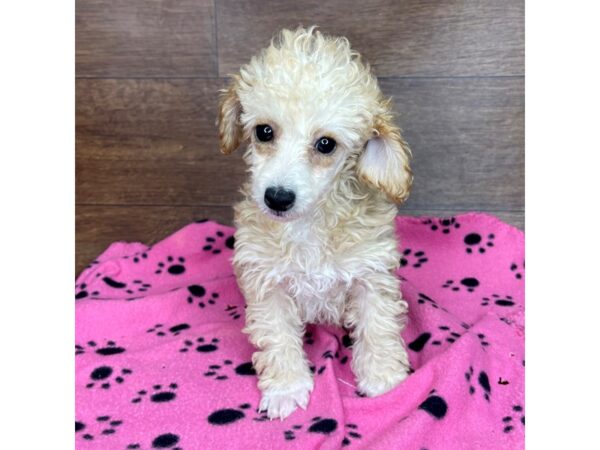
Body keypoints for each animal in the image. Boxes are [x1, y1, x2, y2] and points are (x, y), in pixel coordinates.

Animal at [217, 27, 412, 422]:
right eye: (264, 132)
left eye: (326, 144)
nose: (277, 197)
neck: (309, 225)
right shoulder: (267, 282)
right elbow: (277, 336)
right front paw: (286, 389)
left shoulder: (372, 275)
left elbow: (378, 327)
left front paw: (384, 380)